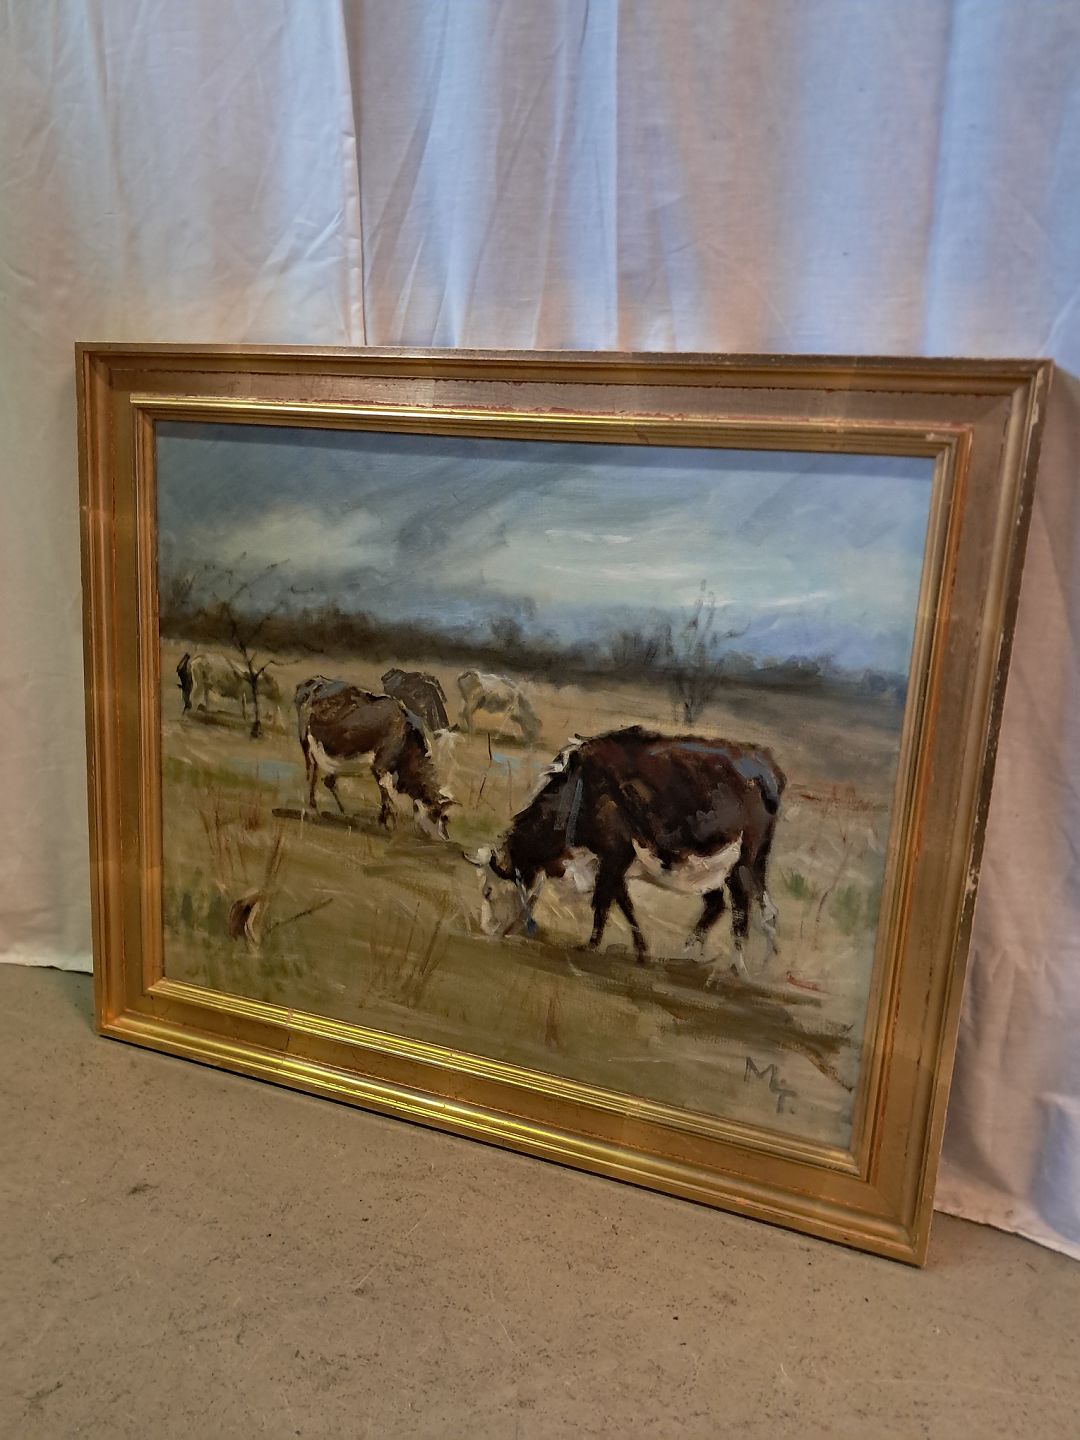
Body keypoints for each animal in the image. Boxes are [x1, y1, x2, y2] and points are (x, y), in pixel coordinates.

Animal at [296, 678, 454, 840]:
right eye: (436, 814)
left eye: (446, 818)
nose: (445, 838)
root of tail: (314, 681)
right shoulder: (381, 766)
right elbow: (386, 795)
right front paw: (389, 824)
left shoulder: (378, 768)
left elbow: (384, 794)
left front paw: (384, 821)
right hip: (308, 745)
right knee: (313, 776)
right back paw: (314, 809)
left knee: (327, 780)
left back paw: (343, 811)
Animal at [465, 726, 785, 982]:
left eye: (488, 891)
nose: (487, 929)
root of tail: (763, 758)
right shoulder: (612, 861)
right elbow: (624, 903)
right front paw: (641, 950)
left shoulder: (614, 854)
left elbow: (602, 902)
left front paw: (590, 946)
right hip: (719, 865)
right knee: (731, 906)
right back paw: (689, 953)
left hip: (742, 861)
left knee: (741, 910)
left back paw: (737, 966)